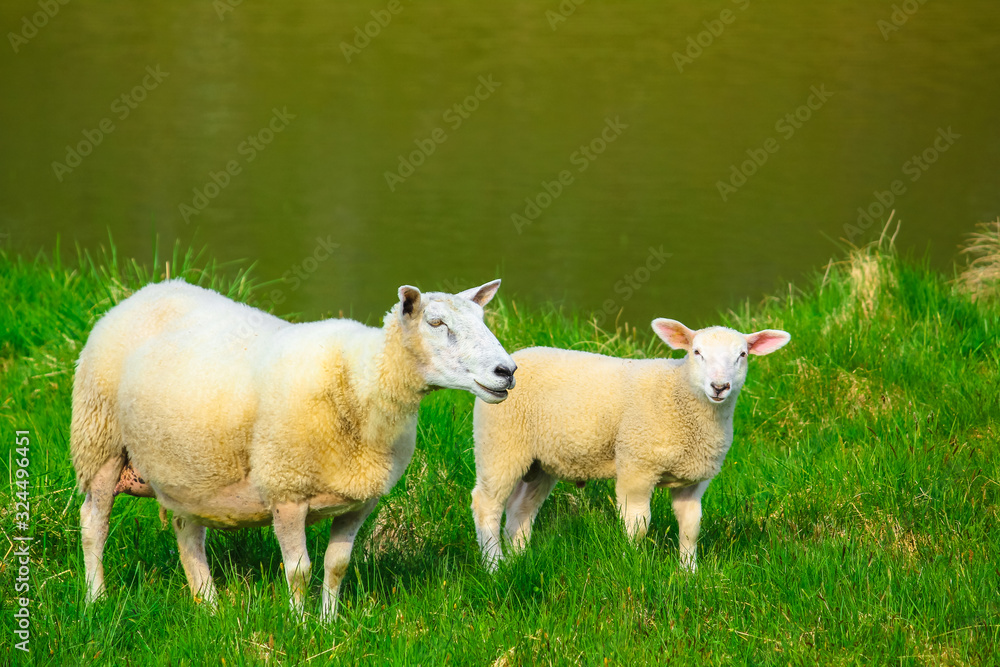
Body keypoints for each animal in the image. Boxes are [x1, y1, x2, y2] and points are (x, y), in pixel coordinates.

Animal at [71, 278, 516, 620]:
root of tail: (146, 291)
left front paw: (329, 622)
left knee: (187, 532)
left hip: (186, 468)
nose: (507, 371)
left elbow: (337, 566)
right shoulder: (286, 489)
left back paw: (208, 605)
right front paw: (300, 625)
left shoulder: (360, 501)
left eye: (482, 321)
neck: (360, 381)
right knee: (94, 523)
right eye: (436, 322)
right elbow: (299, 570)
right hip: (100, 438)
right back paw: (97, 599)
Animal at [470, 318, 790, 571]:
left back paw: (519, 560)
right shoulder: (636, 466)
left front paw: (689, 573)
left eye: (742, 355)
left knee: (520, 511)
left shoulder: (693, 480)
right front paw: (632, 564)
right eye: (696, 352)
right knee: (486, 505)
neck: (679, 394)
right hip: (499, 443)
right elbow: (638, 524)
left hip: (541, 462)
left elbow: (690, 527)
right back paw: (494, 567)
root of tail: (513, 358)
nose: (719, 387)